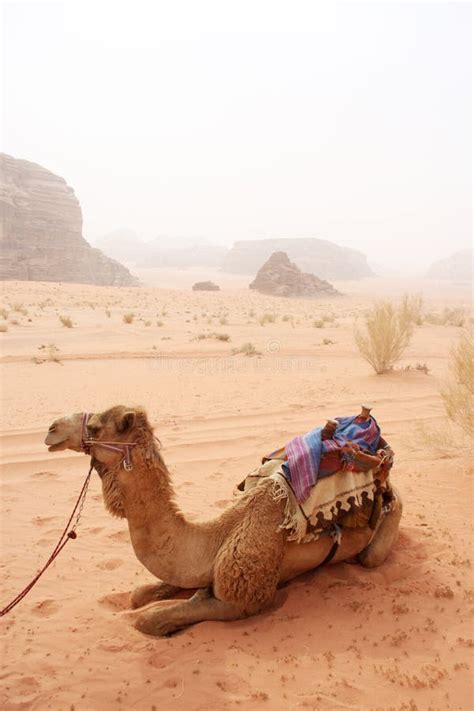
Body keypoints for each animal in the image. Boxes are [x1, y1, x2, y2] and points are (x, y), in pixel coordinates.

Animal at [44, 406, 402, 640]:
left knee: (373, 550)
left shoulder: (244, 598)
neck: (216, 536)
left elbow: (149, 620)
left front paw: (170, 623)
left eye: (95, 428)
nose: (51, 429)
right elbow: (139, 595)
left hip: (382, 530)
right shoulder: (196, 567)